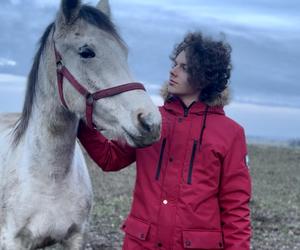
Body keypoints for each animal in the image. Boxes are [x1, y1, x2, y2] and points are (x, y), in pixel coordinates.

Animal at [0, 0, 162, 249]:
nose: (150, 122)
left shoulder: (76, 237)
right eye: (86, 52)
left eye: (124, 53)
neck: (50, 180)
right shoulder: (12, 241)